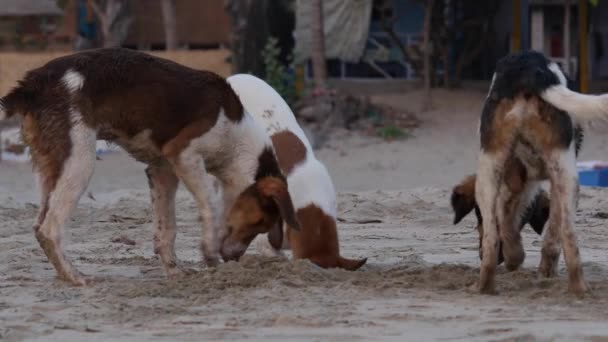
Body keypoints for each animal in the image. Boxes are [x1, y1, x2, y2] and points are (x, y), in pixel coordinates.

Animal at [0, 46, 300, 284]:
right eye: (259, 222)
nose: (233, 259)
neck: (237, 138)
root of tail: (31, 85)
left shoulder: (163, 170)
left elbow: (167, 228)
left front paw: (175, 271)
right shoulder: (185, 155)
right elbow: (211, 206)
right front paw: (208, 251)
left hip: (53, 169)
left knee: (39, 225)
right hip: (79, 163)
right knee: (49, 229)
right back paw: (75, 277)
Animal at [476, 49, 608, 296]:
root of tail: (526, 66)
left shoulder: (519, 185)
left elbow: (507, 224)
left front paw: (515, 256)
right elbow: (552, 236)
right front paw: (545, 271)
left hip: (488, 173)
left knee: (492, 240)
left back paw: (485, 286)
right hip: (568, 177)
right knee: (567, 235)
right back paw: (579, 289)